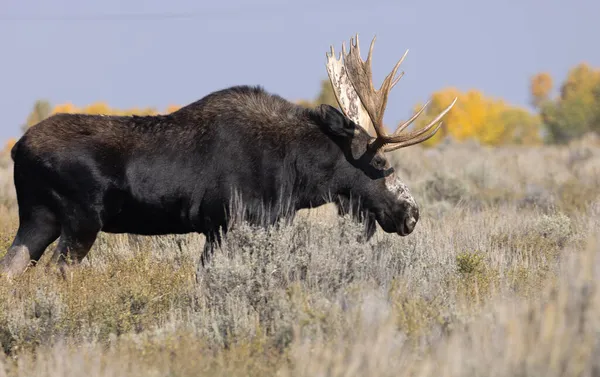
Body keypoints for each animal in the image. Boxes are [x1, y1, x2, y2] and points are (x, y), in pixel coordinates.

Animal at [0, 34, 454, 280]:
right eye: (380, 164)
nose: (411, 214)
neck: (300, 176)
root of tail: (17, 148)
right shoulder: (230, 224)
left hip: (39, 218)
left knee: (11, 268)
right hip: (80, 221)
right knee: (57, 272)